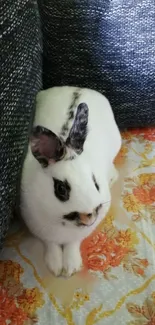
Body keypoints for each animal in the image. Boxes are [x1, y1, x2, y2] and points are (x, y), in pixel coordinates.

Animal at [20, 86, 121, 276]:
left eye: (95, 183)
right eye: (61, 189)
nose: (89, 216)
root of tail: (77, 88)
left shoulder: (78, 236)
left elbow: (73, 244)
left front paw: (71, 267)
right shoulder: (40, 229)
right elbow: (51, 245)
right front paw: (55, 267)